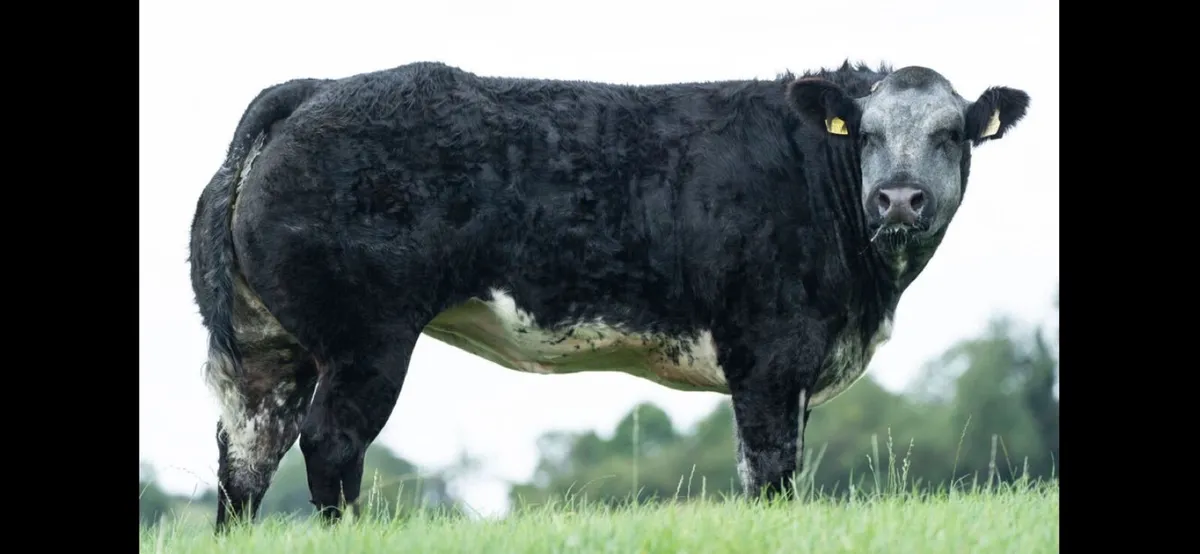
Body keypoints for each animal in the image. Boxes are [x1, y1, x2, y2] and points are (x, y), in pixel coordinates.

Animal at [188, 59, 1029, 530]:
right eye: (867, 134)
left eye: (952, 133)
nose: (898, 200)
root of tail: (314, 89)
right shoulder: (770, 352)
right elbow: (770, 470)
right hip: (367, 340)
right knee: (332, 444)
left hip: (268, 350)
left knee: (245, 462)